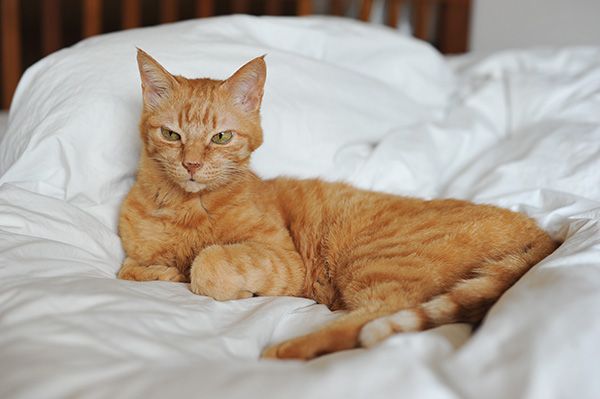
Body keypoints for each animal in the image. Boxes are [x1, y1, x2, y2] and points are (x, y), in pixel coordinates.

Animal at [117, 49, 556, 360]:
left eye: (221, 137)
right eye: (171, 135)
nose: (191, 164)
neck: (186, 209)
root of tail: (542, 231)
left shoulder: (286, 261)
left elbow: (208, 264)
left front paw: (222, 285)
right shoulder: (132, 255)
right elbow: (131, 270)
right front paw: (166, 271)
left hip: (376, 258)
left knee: (381, 313)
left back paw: (290, 349)